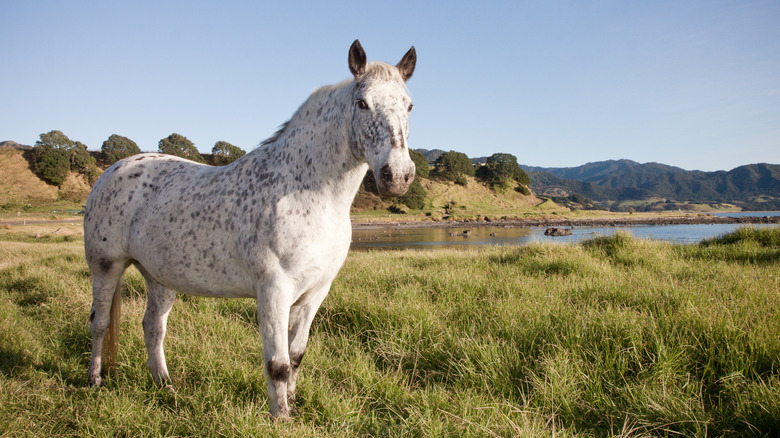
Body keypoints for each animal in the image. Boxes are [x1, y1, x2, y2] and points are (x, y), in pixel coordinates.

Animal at [83, 40, 418, 418]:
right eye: (362, 103)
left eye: (409, 106)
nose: (398, 175)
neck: (307, 193)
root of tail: (113, 171)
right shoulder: (273, 289)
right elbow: (278, 364)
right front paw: (281, 418)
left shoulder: (315, 292)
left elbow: (296, 357)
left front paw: (293, 407)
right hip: (106, 267)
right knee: (99, 322)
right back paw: (95, 380)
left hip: (160, 277)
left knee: (153, 328)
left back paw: (165, 386)